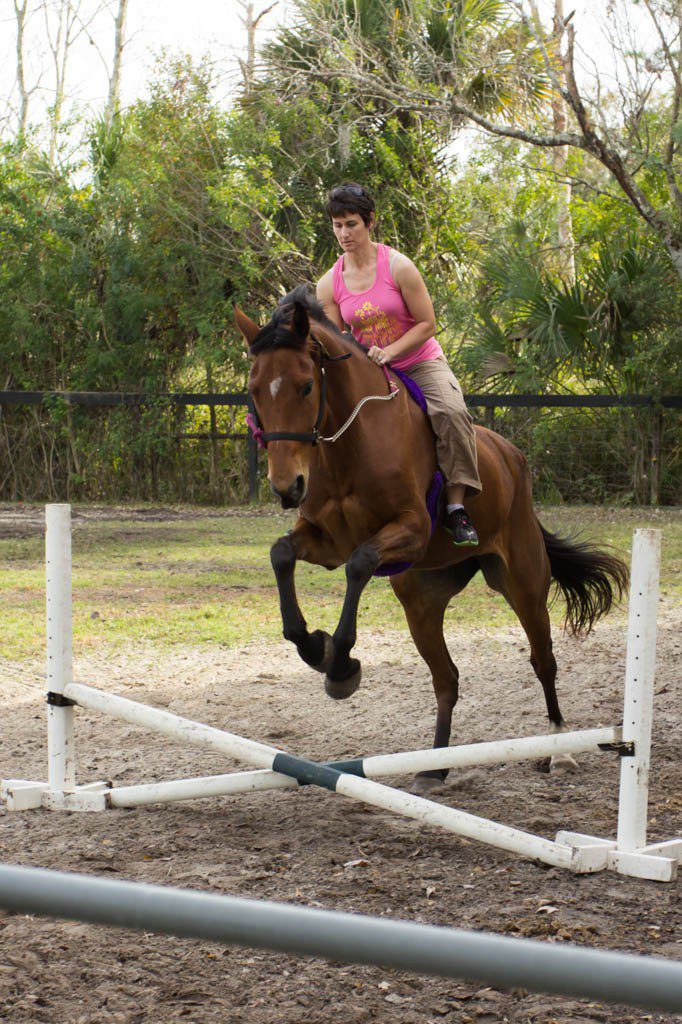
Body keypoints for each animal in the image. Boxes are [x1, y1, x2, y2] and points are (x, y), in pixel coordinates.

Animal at [235, 288, 626, 790]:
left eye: (305, 385)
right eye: (254, 390)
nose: (287, 488)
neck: (347, 444)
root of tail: (512, 455)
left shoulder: (411, 531)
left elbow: (360, 563)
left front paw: (339, 664)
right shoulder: (325, 542)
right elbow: (282, 553)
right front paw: (313, 646)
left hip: (522, 585)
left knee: (543, 660)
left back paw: (559, 749)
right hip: (421, 601)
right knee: (447, 678)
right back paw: (435, 767)